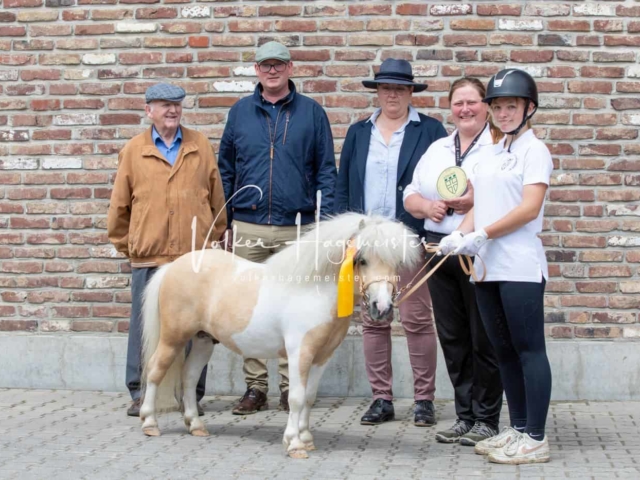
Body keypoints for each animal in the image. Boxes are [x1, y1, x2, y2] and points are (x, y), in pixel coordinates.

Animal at [138, 213, 422, 458]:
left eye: (396, 263)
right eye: (361, 260)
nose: (382, 308)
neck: (312, 289)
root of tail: (172, 266)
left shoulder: (322, 356)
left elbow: (309, 397)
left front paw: (306, 439)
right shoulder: (300, 353)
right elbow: (296, 398)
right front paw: (294, 444)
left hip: (202, 340)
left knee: (188, 376)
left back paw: (195, 425)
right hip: (173, 337)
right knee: (155, 370)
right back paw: (150, 423)